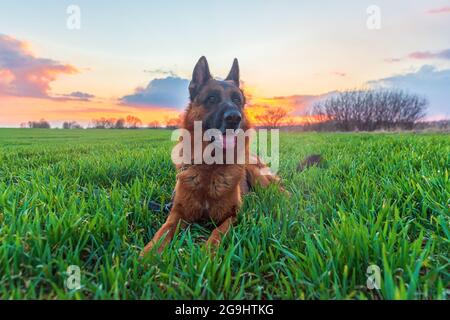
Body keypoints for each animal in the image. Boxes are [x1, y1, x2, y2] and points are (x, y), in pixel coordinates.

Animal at [142, 57, 282, 255]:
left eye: (237, 100)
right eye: (212, 98)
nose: (234, 118)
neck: (210, 168)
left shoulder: (232, 216)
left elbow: (217, 233)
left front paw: (207, 254)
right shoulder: (177, 213)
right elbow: (163, 232)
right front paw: (148, 254)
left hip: (259, 178)